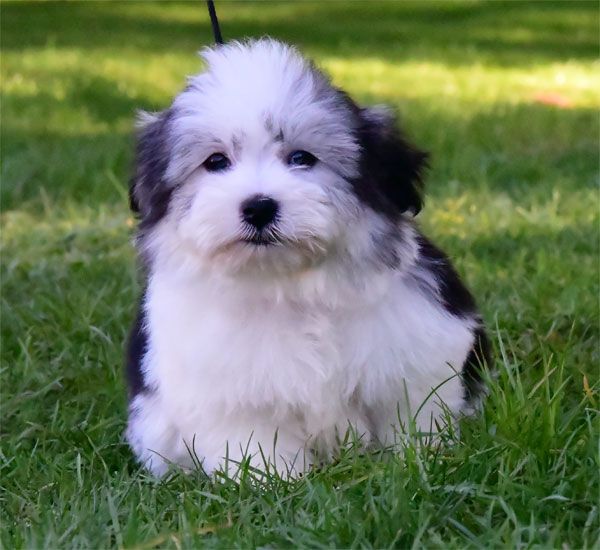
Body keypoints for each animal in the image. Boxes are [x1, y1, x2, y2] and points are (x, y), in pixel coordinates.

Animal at [124, 38, 490, 478]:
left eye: (302, 158)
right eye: (215, 162)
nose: (259, 207)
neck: (287, 286)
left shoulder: (414, 357)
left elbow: (413, 414)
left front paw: (419, 463)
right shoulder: (226, 387)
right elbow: (253, 440)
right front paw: (271, 482)